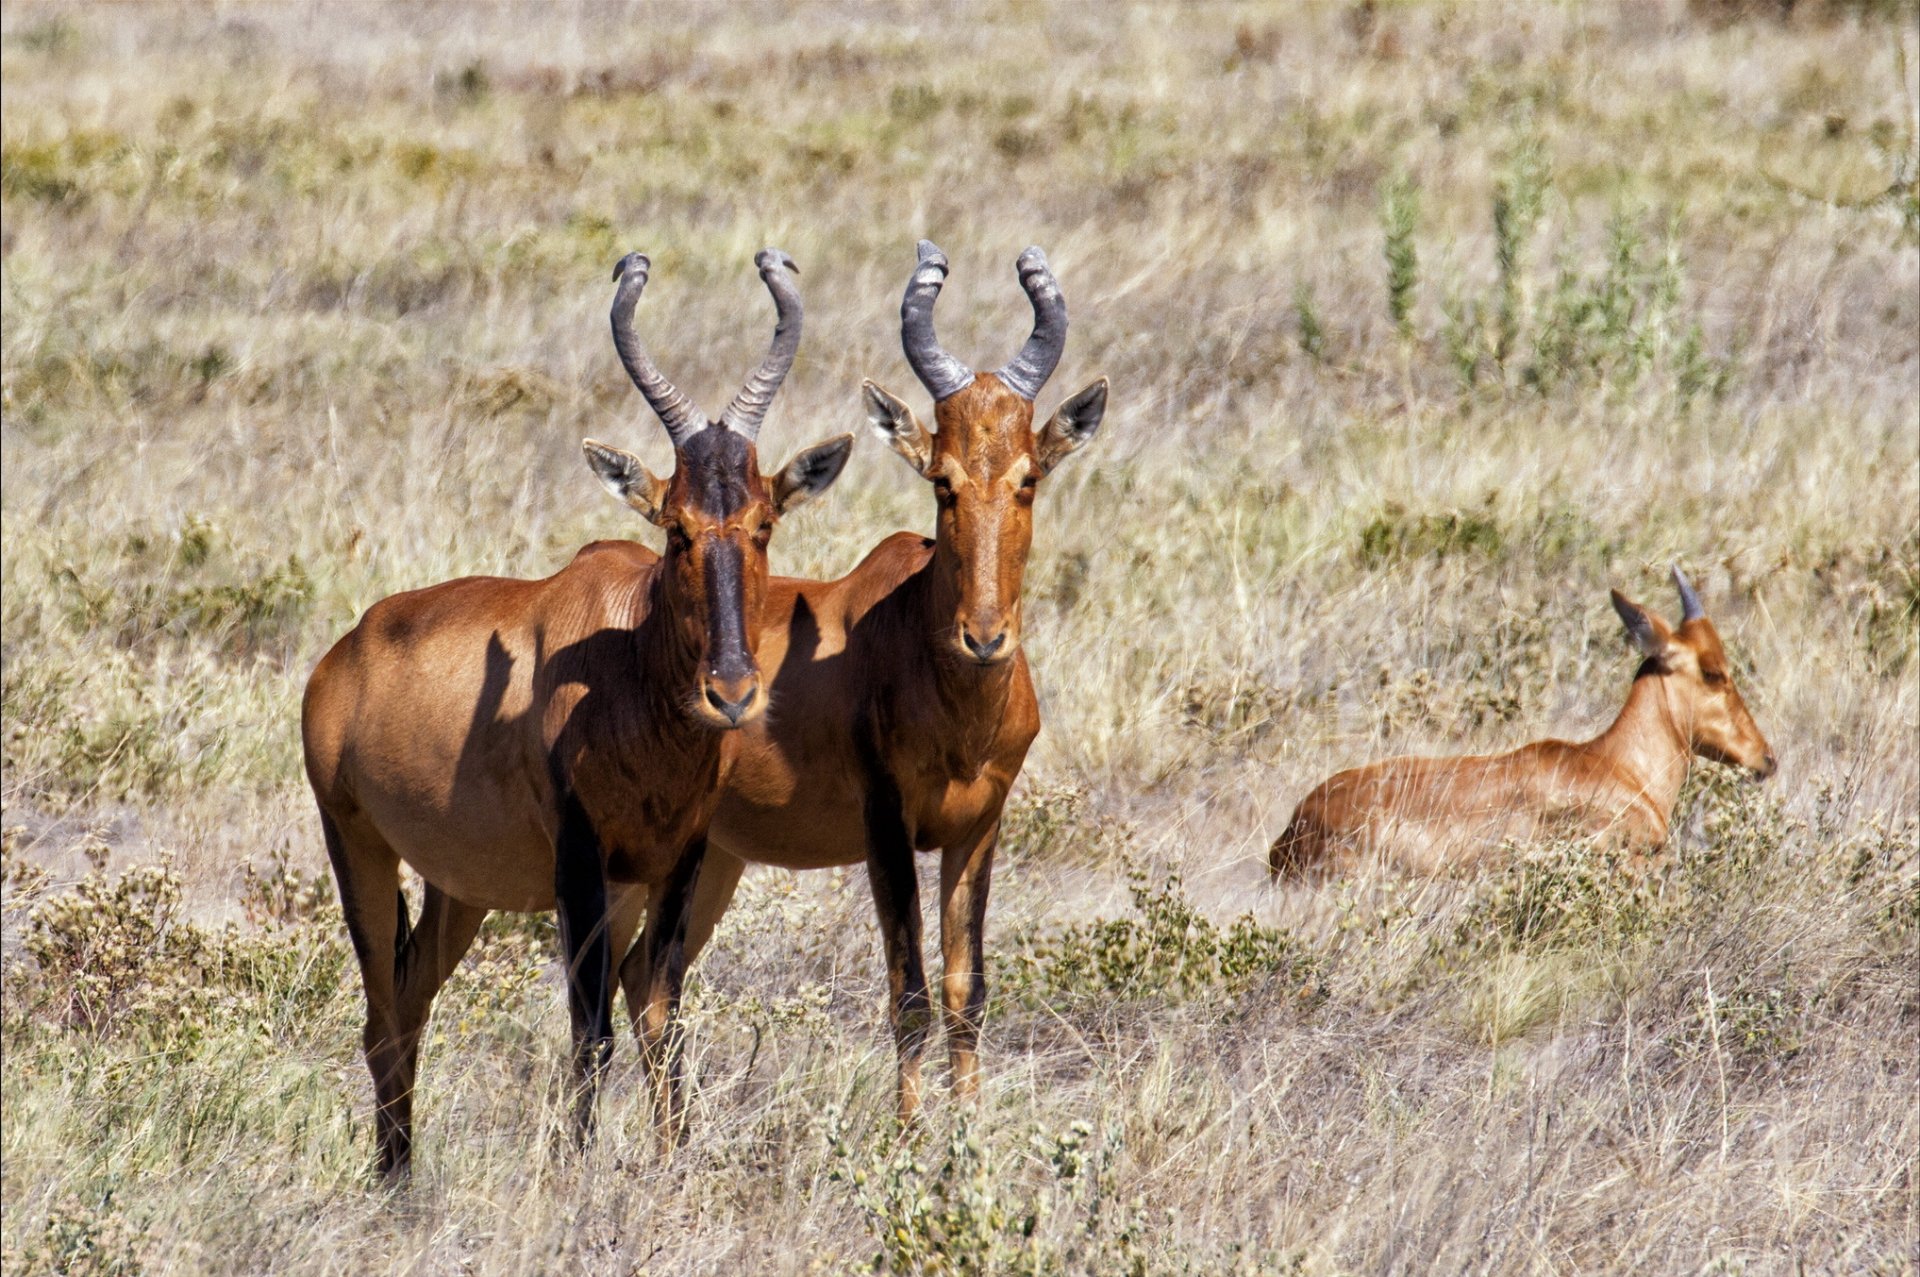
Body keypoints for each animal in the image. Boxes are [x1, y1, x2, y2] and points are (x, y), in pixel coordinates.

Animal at [301, 249, 856, 1175]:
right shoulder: (580, 861)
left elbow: (662, 1016)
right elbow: (589, 1030)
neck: (625, 656)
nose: (732, 691)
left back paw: (404, 1174)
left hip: (460, 888)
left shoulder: (678, 858)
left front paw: (671, 1162)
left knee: (411, 1001)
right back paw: (392, 1176)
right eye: (675, 525)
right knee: (380, 1016)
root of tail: (343, 654)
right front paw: (576, 1170)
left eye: (763, 521)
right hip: (358, 847)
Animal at [614, 239, 1113, 1113]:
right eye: (942, 479)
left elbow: (965, 990)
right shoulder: (886, 825)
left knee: (645, 975)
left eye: (1028, 476)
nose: (985, 637)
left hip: (715, 858)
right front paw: (912, 1133)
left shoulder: (981, 828)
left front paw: (967, 1130)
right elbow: (907, 993)